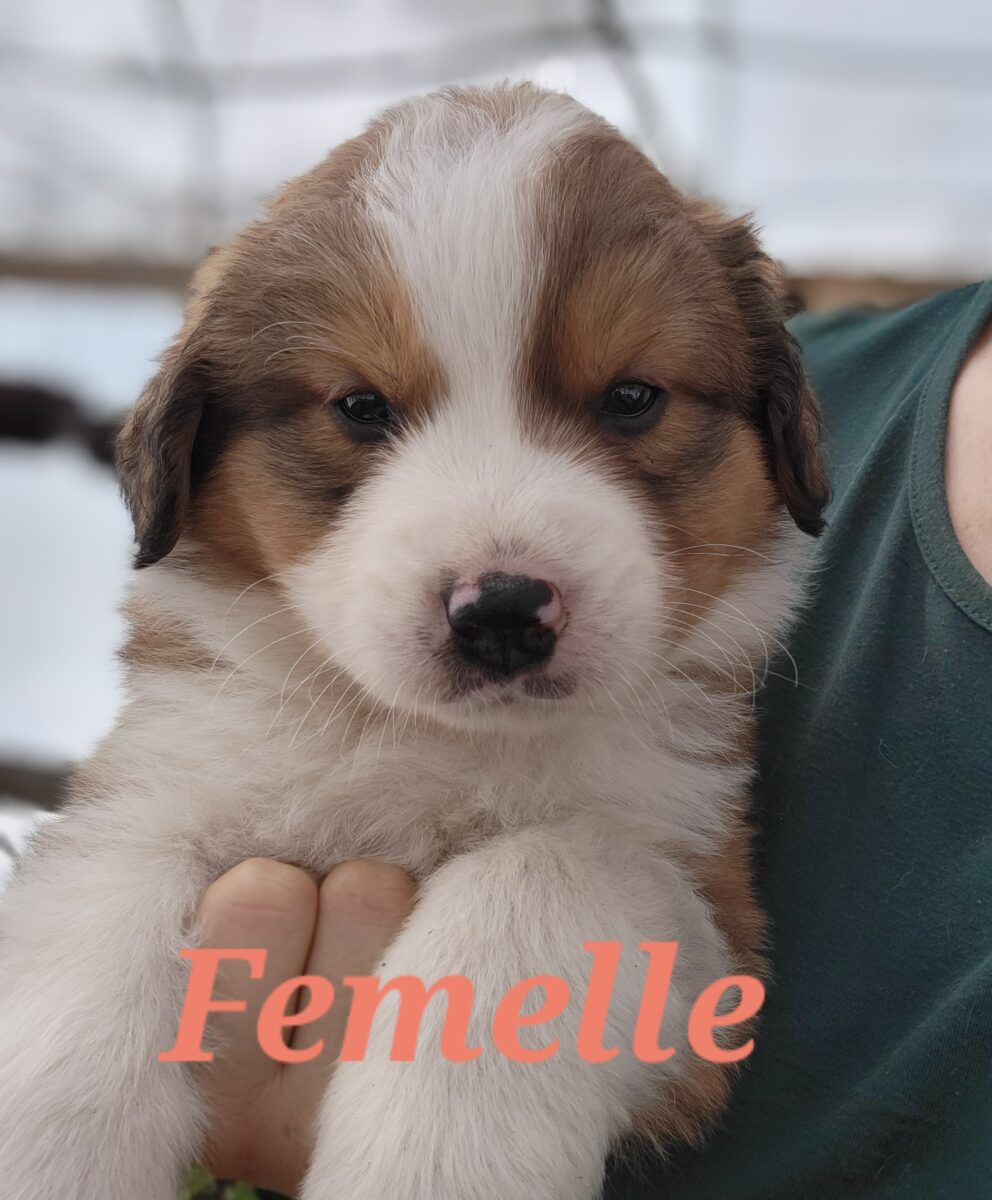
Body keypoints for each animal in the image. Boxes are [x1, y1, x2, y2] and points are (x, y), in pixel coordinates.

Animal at [0, 87, 825, 1200]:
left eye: (631, 398)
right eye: (359, 407)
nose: (504, 612)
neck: (417, 740)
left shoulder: (705, 909)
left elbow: (537, 876)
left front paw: (435, 1155)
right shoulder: (159, 786)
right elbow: (96, 930)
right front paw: (50, 1152)